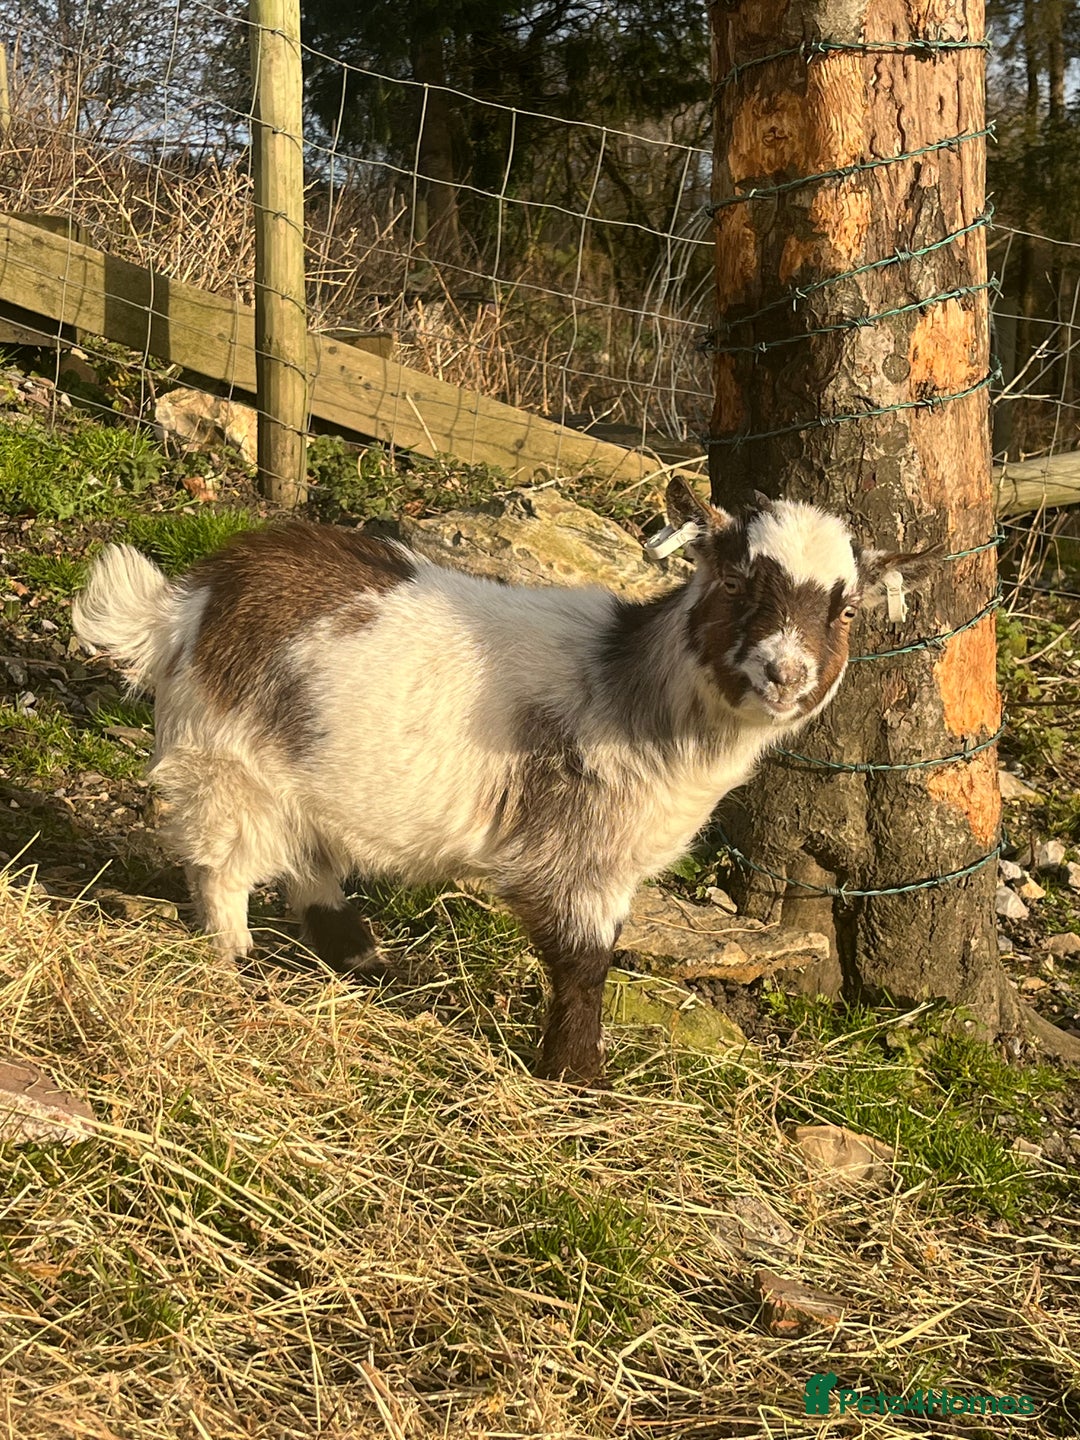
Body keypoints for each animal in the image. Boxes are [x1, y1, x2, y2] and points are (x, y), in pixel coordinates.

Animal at [72, 479, 935, 1083]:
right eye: (732, 583)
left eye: (846, 611)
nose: (785, 674)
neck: (634, 690)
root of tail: (188, 601)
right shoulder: (568, 851)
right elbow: (584, 961)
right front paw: (579, 1079)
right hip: (229, 762)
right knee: (221, 868)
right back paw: (237, 960)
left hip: (304, 772)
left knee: (309, 865)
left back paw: (365, 960)